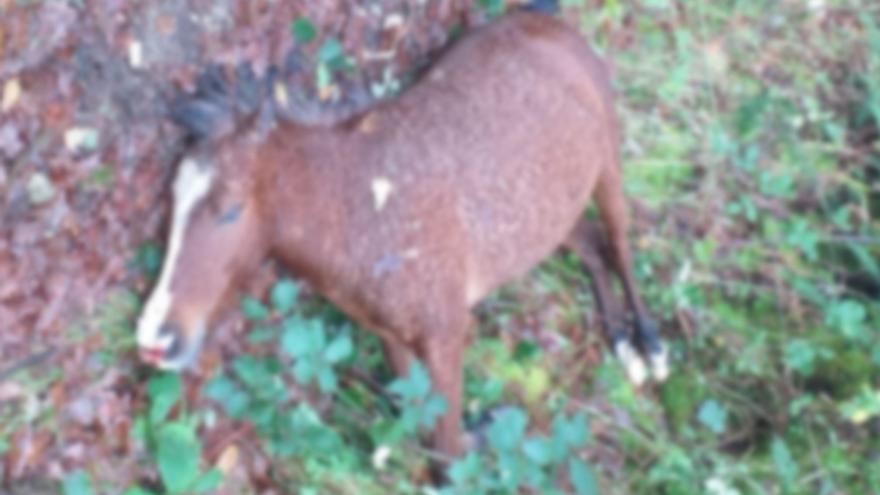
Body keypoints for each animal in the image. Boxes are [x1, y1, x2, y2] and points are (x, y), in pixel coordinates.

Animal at [136, 9, 668, 464]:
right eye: (171, 203)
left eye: (230, 209)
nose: (156, 338)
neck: (360, 210)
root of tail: (546, 19)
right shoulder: (391, 336)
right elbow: (429, 433)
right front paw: (483, 425)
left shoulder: (446, 334)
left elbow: (447, 456)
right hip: (551, 214)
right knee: (591, 246)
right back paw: (621, 343)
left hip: (608, 167)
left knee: (620, 245)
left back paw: (650, 347)